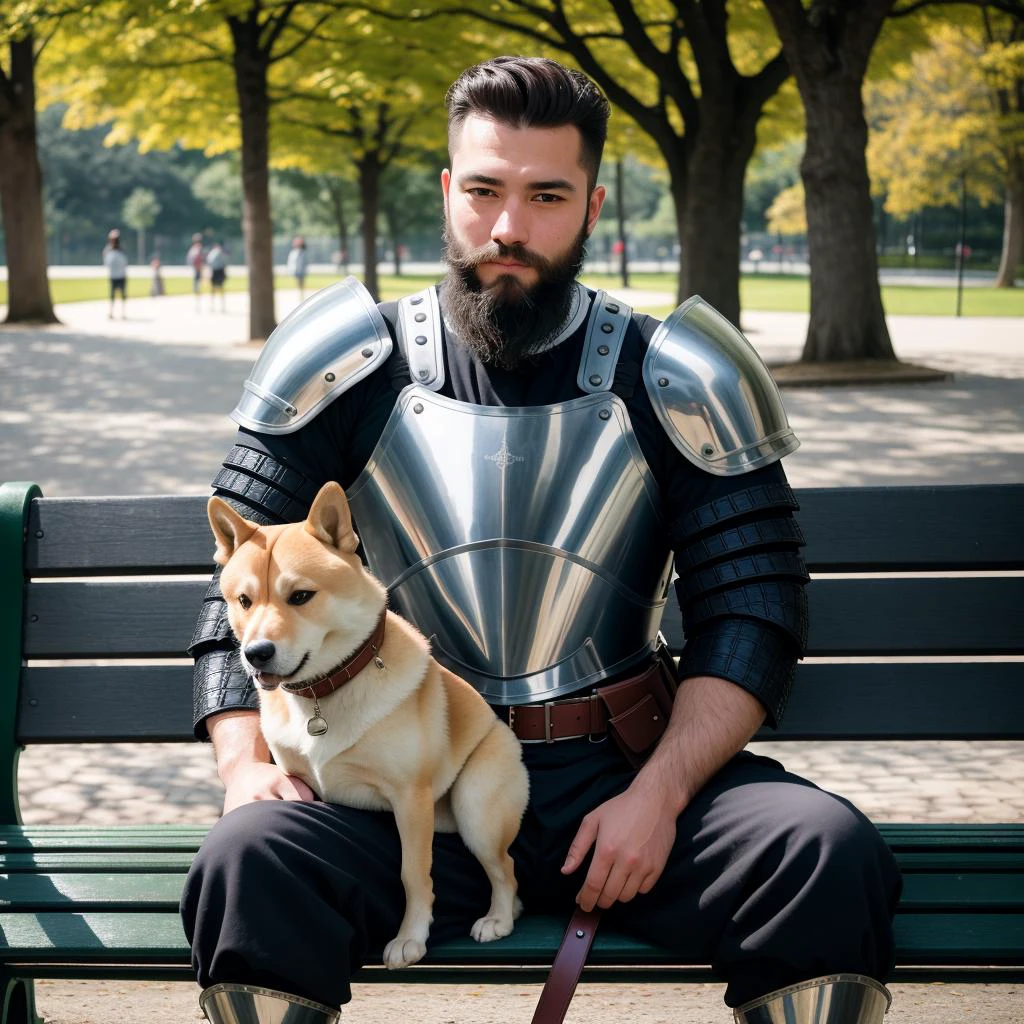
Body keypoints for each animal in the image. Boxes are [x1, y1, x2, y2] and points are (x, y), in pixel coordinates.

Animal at [207, 479, 528, 966]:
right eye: (244, 601)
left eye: (300, 596)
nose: (256, 653)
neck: (324, 694)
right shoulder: (300, 781)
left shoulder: (410, 798)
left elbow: (414, 873)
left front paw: (411, 936)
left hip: (477, 809)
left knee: (505, 868)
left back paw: (499, 917)